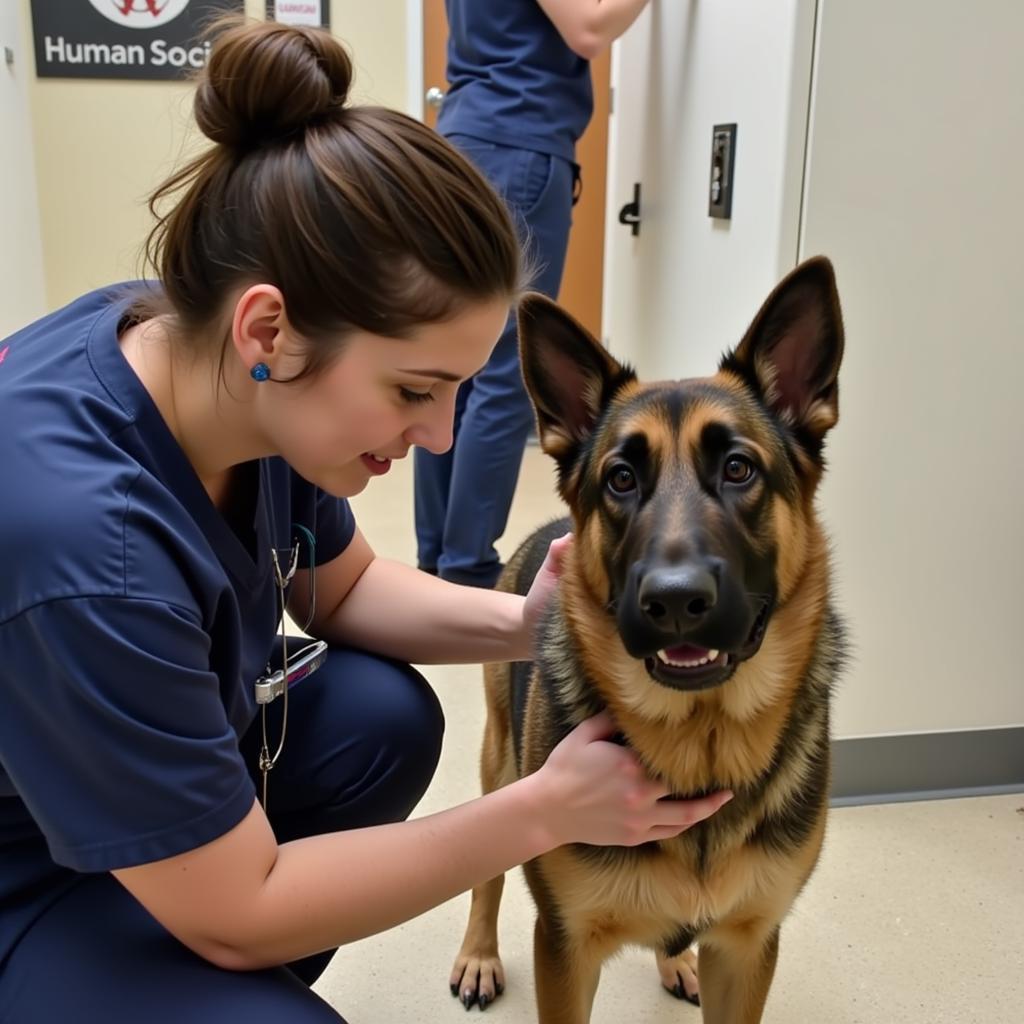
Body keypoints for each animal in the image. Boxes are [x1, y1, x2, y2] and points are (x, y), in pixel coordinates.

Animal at [452, 258, 843, 1024]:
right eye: (622, 479)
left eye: (739, 469)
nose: (675, 601)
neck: (701, 740)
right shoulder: (566, 950)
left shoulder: (747, 953)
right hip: (501, 764)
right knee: (487, 871)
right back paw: (479, 953)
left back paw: (676, 960)